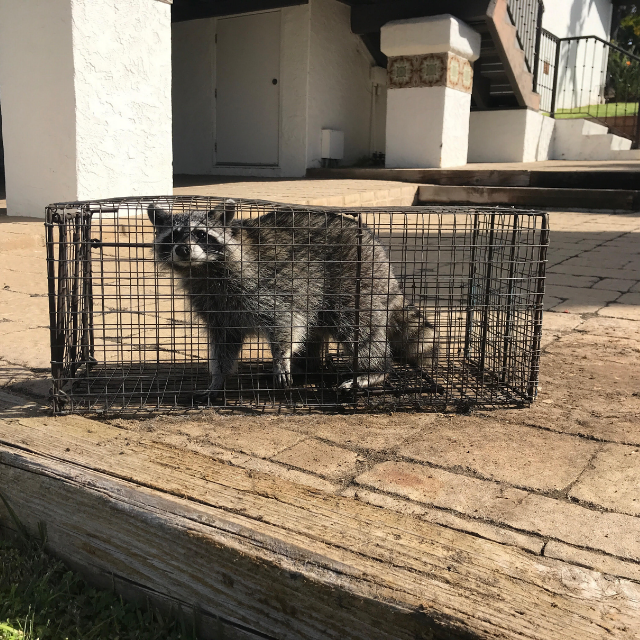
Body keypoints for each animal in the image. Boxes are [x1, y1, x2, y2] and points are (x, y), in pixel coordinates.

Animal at [147, 200, 437, 396]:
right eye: (174, 235)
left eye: (200, 234)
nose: (183, 250)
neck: (203, 269)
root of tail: (373, 244)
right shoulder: (215, 305)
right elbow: (224, 344)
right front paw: (218, 378)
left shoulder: (262, 286)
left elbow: (285, 322)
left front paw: (281, 358)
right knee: (315, 330)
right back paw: (307, 365)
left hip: (353, 279)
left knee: (357, 328)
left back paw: (375, 370)